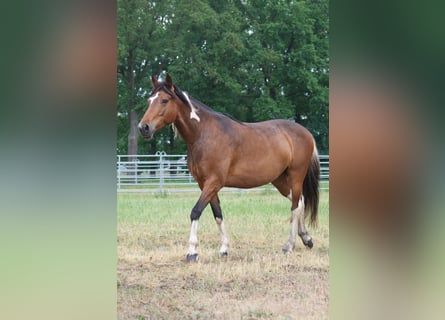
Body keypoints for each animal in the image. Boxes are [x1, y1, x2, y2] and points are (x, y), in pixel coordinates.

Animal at [139, 74, 320, 262]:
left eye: (164, 100)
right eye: (149, 100)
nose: (143, 128)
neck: (204, 134)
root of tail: (306, 132)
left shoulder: (214, 182)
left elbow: (196, 211)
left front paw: (192, 252)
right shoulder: (205, 184)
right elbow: (218, 215)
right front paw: (224, 248)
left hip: (296, 176)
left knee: (295, 206)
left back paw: (289, 245)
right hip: (279, 179)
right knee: (299, 201)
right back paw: (306, 238)